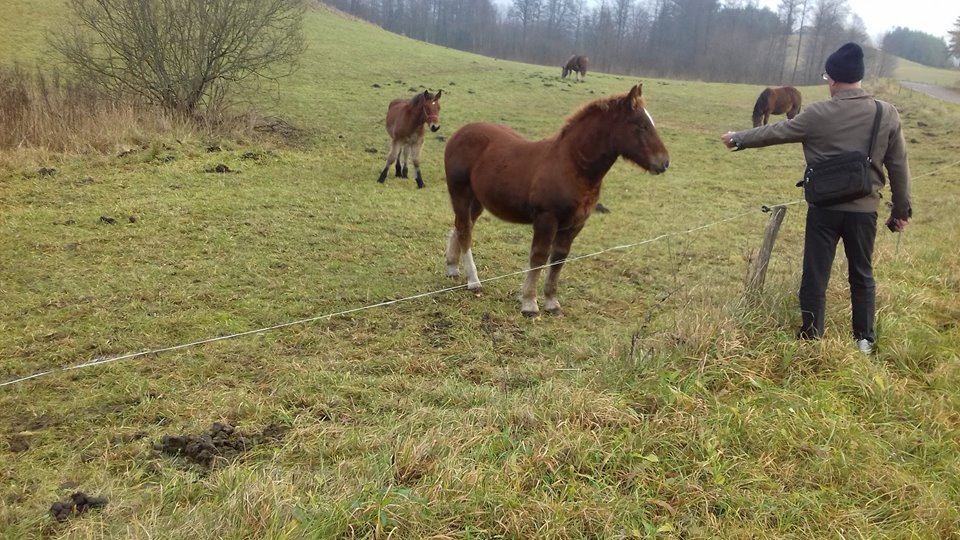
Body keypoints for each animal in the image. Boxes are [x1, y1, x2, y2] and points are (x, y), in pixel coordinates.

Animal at [443, 84, 670, 317]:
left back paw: (452, 267)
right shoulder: (546, 218)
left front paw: (552, 302)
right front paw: (529, 303)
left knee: (461, 226)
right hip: (460, 192)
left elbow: (559, 258)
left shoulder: (576, 224)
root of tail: (460, 132)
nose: (663, 162)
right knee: (465, 230)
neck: (571, 165)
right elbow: (539, 257)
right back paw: (473, 281)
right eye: (641, 125)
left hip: (477, 200)